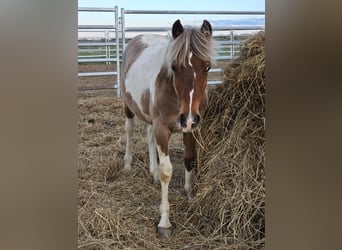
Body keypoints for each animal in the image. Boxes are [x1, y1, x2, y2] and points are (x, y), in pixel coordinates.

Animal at [121, 20, 214, 238]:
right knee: (129, 130)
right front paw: (164, 222)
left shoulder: (192, 129)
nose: (188, 118)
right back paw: (127, 165)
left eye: (207, 67)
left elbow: (190, 159)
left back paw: (152, 172)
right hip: (129, 106)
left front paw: (190, 195)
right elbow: (167, 171)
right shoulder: (162, 129)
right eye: (174, 67)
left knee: (149, 136)